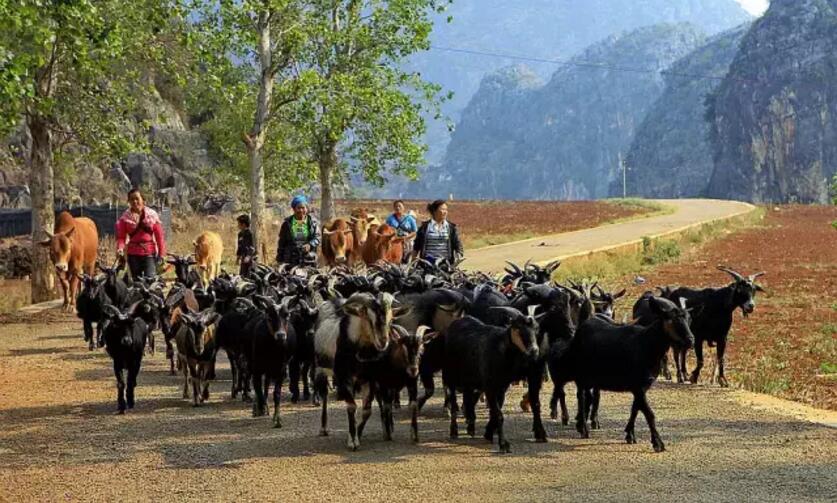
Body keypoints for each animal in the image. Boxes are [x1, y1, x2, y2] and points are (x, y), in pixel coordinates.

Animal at [440, 306, 540, 454]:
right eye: (517, 328)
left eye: (536, 328)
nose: (533, 351)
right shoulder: (489, 387)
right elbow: (498, 414)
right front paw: (503, 444)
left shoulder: (502, 387)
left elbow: (495, 412)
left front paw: (489, 433)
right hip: (450, 376)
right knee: (453, 402)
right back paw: (454, 431)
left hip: (470, 380)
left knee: (468, 399)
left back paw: (471, 426)